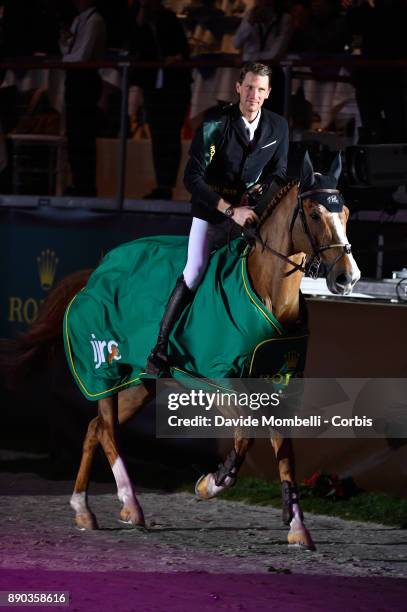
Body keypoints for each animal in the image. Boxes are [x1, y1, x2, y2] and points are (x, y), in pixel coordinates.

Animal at [3, 153, 360, 548]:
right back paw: (130, 505)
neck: (268, 294)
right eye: (314, 215)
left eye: (345, 213)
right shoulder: (220, 381)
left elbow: (285, 454)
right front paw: (209, 483)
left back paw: (83, 508)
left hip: (141, 384)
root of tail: (93, 274)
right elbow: (245, 437)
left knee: (95, 427)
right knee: (107, 428)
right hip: (103, 370)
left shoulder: (280, 385)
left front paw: (297, 527)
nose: (347, 278)